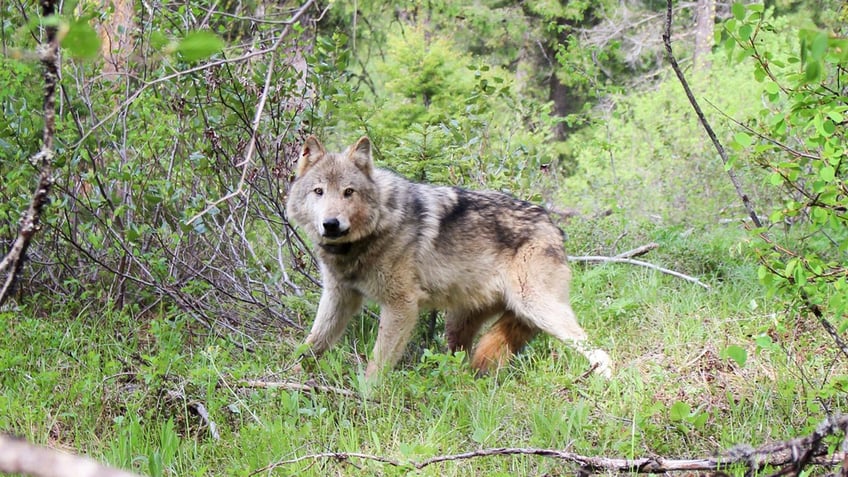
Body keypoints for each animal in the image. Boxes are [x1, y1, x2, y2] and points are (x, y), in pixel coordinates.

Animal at [284, 135, 608, 380]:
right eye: (319, 191)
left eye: (348, 192)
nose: (331, 224)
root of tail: (553, 226)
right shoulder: (339, 297)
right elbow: (311, 344)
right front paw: (288, 378)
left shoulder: (402, 306)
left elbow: (378, 364)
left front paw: (367, 398)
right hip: (460, 324)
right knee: (461, 361)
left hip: (538, 309)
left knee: (599, 350)